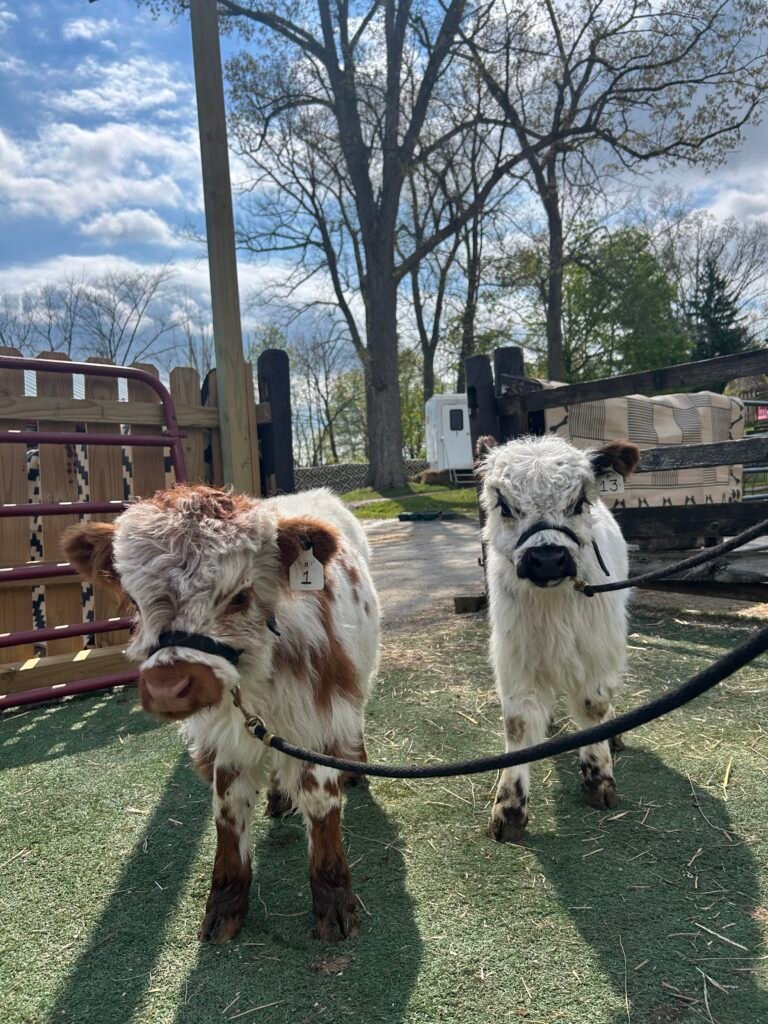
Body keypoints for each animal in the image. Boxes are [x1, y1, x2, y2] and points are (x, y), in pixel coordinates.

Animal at [63, 485, 380, 944]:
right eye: (135, 601)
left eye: (240, 596)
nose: (168, 686)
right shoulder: (226, 741)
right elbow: (228, 814)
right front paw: (224, 909)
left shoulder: (317, 721)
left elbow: (321, 807)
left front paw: (335, 905)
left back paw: (354, 769)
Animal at [476, 434, 640, 843]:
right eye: (504, 504)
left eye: (579, 502)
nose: (548, 558)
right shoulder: (516, 658)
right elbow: (518, 724)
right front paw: (509, 810)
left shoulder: (597, 650)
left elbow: (593, 706)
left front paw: (599, 780)